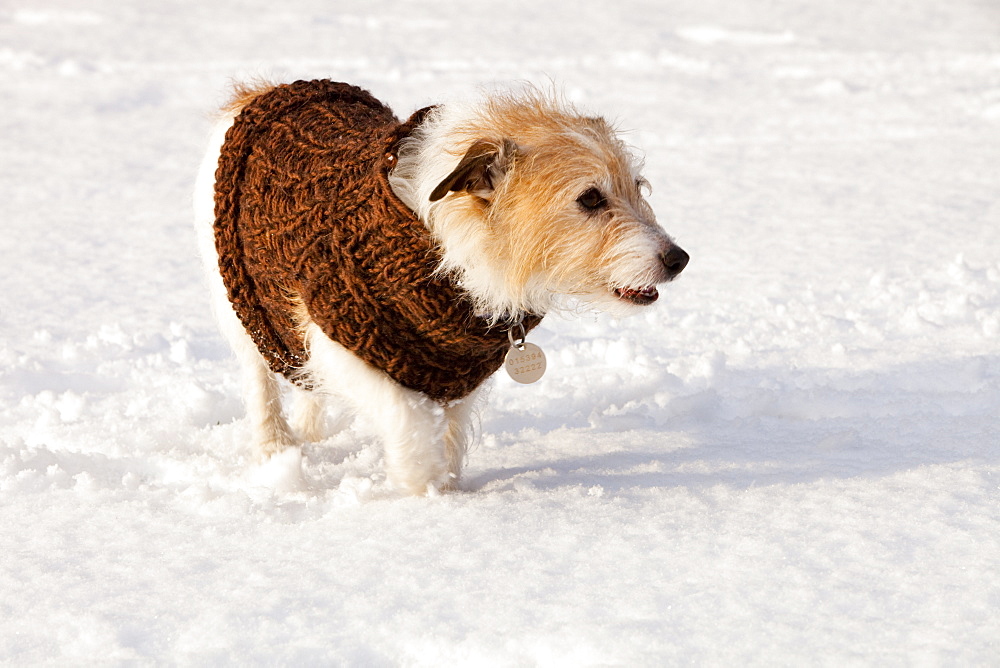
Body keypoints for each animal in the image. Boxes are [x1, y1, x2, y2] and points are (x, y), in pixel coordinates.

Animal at [193, 79, 688, 496]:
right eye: (590, 198)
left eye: (638, 186)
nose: (678, 259)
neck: (444, 250)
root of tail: (263, 92)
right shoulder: (341, 337)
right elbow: (407, 418)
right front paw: (425, 497)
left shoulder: (455, 372)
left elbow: (447, 433)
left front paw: (446, 492)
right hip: (248, 308)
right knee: (261, 381)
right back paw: (277, 455)